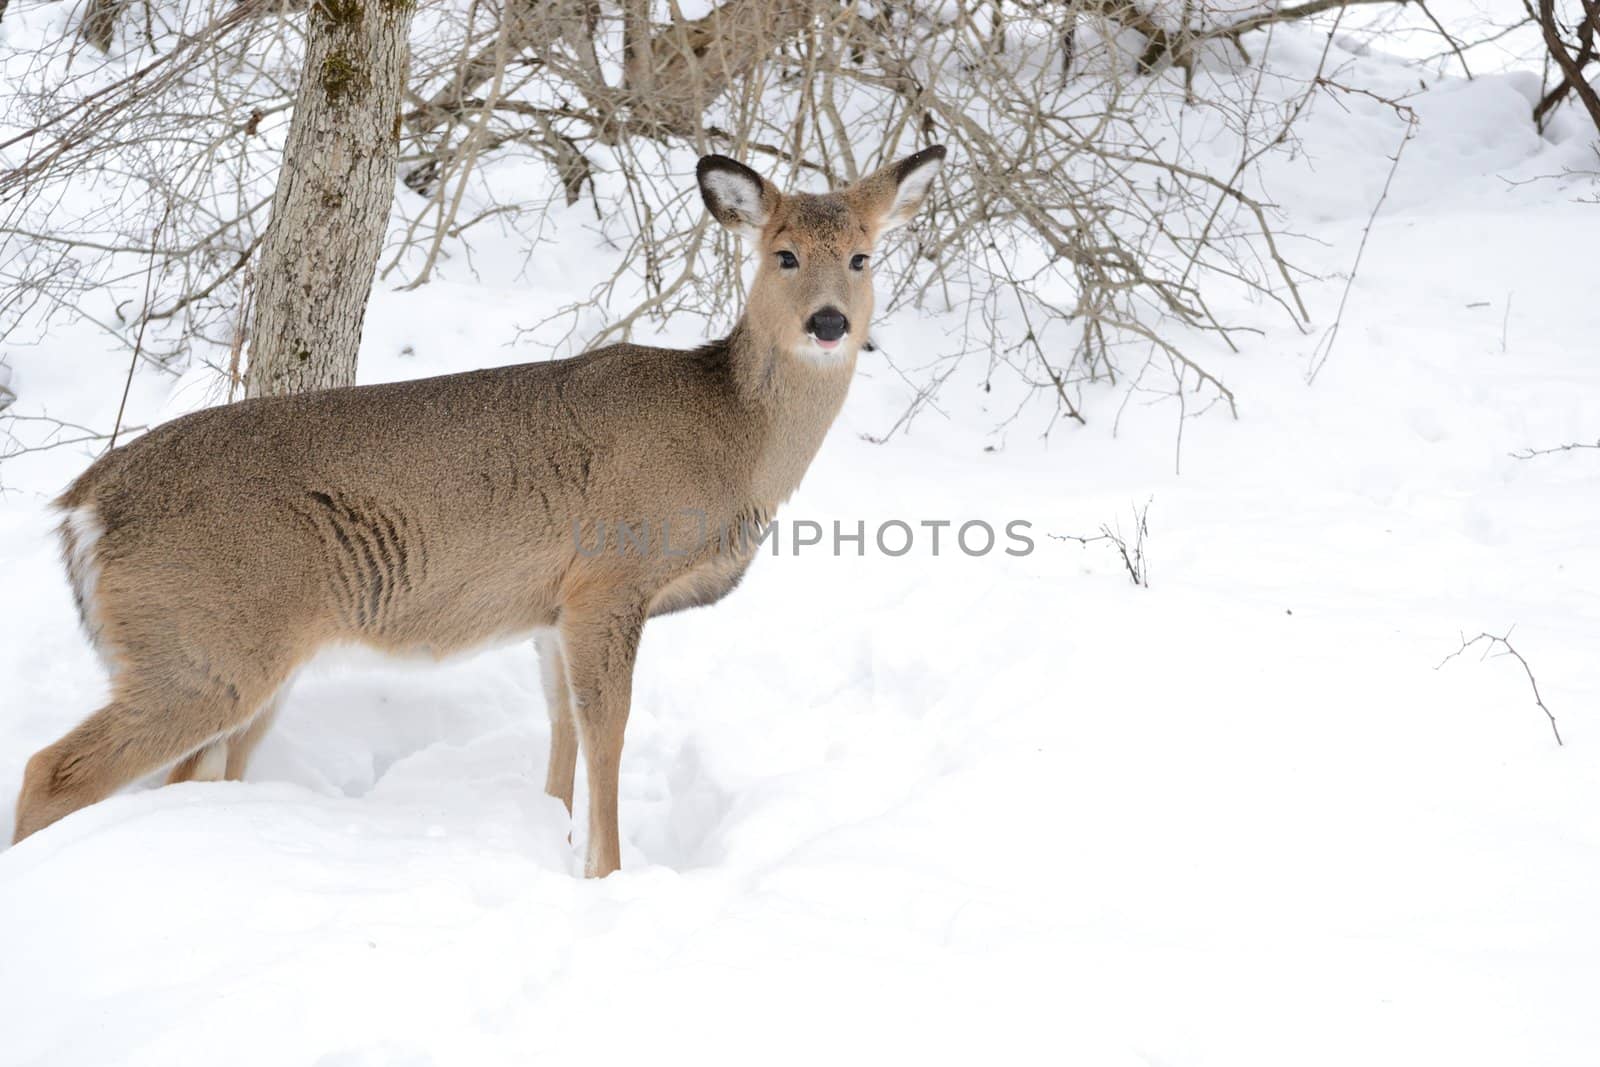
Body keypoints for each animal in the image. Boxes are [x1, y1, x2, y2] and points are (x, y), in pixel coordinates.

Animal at [12, 143, 940, 876]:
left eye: (862, 256)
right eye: (783, 254)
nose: (829, 323)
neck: (730, 439)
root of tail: (82, 507)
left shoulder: (552, 606)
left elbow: (562, 727)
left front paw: (553, 836)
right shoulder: (610, 577)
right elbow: (608, 732)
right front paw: (606, 875)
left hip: (232, 656)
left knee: (177, 776)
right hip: (204, 645)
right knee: (51, 771)